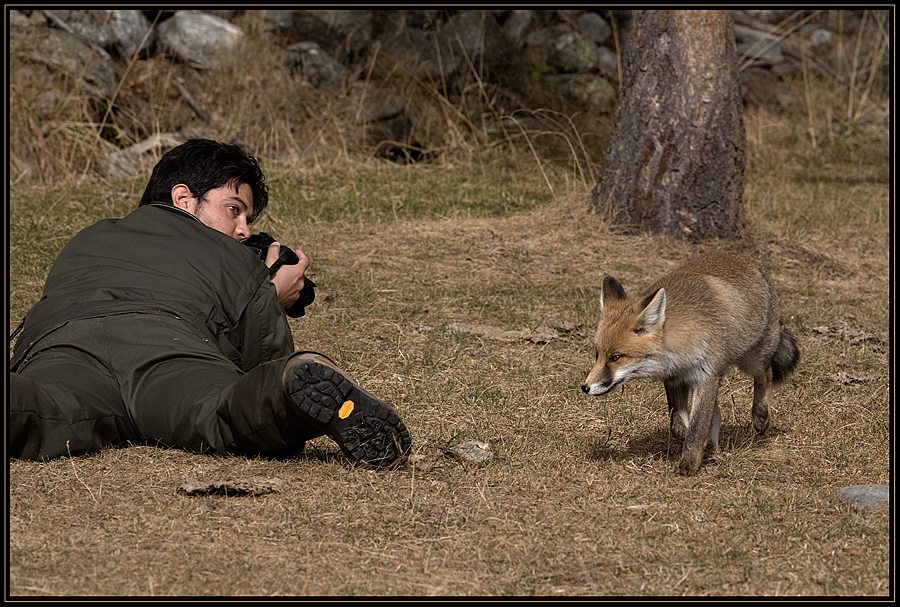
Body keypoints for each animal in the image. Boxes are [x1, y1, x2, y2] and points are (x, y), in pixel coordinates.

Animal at [584, 251, 800, 476]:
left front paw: (689, 464)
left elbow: (697, 428)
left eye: (616, 357)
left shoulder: (706, 377)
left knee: (765, 375)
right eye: (598, 354)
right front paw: (700, 448)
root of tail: (740, 256)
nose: (585, 387)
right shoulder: (674, 379)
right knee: (717, 410)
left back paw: (760, 417)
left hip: (753, 359)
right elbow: (679, 425)